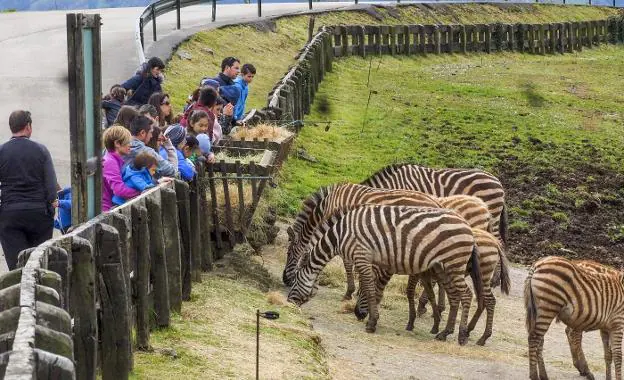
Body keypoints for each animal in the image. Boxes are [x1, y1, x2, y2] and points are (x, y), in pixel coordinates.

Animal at [288, 205, 482, 344]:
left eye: (295, 279)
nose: (289, 302)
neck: (340, 234)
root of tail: (468, 227)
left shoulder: (362, 256)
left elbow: (369, 288)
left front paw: (371, 323)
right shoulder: (381, 262)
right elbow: (376, 290)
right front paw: (370, 317)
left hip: (453, 263)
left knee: (466, 295)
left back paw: (461, 336)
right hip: (444, 267)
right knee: (455, 296)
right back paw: (444, 333)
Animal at [354, 227, 510, 346]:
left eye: (363, 292)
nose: (357, 314)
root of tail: (495, 241)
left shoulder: (417, 272)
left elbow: (410, 292)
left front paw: (412, 322)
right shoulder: (425, 274)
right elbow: (431, 295)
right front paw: (435, 323)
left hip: (482, 275)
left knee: (489, 301)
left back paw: (482, 338)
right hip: (477, 276)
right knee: (482, 301)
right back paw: (468, 331)